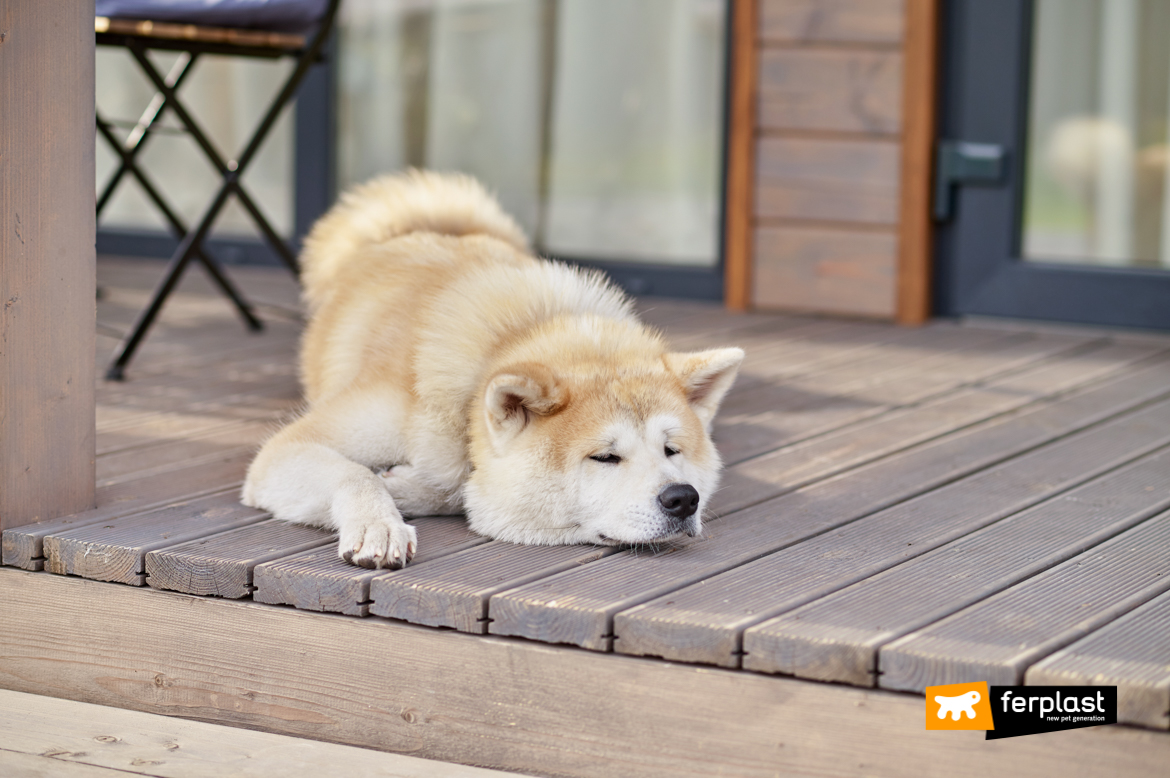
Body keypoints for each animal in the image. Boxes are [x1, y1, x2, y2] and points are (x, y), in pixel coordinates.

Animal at [242, 171, 744, 563]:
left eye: (672, 450)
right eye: (604, 457)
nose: (683, 498)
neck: (509, 340)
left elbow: (454, 487)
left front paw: (410, 488)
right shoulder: (287, 449)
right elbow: (356, 474)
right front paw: (380, 523)